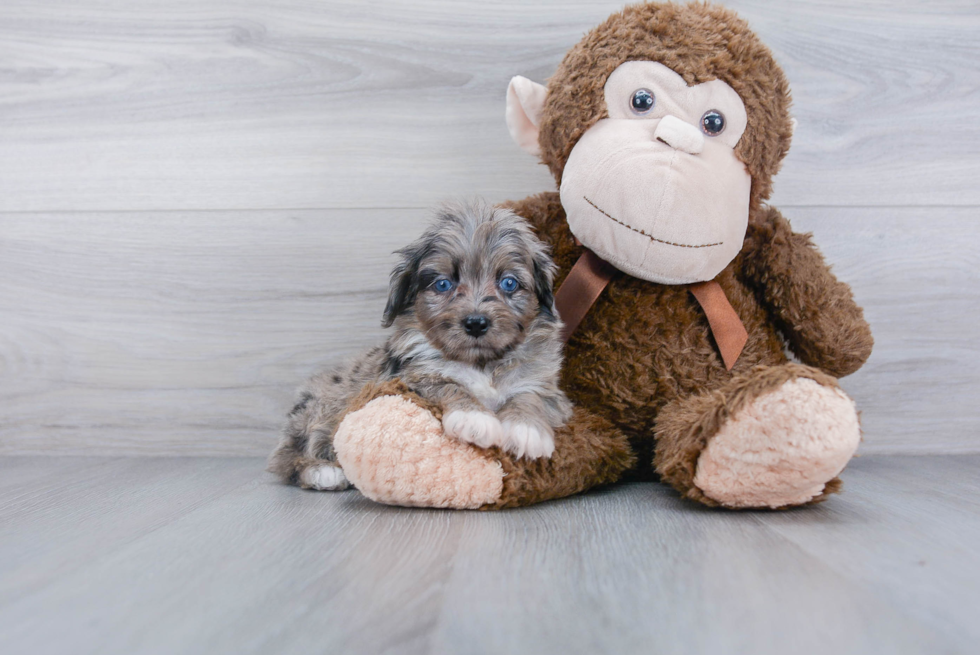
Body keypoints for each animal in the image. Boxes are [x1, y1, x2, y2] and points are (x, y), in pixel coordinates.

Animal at [270, 200, 576, 492]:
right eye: (443, 284)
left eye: (509, 283)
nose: (476, 323)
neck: (482, 364)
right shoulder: (409, 378)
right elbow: (446, 384)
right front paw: (473, 417)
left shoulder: (545, 387)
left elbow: (530, 397)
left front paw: (525, 430)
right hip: (319, 411)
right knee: (287, 458)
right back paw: (323, 472)